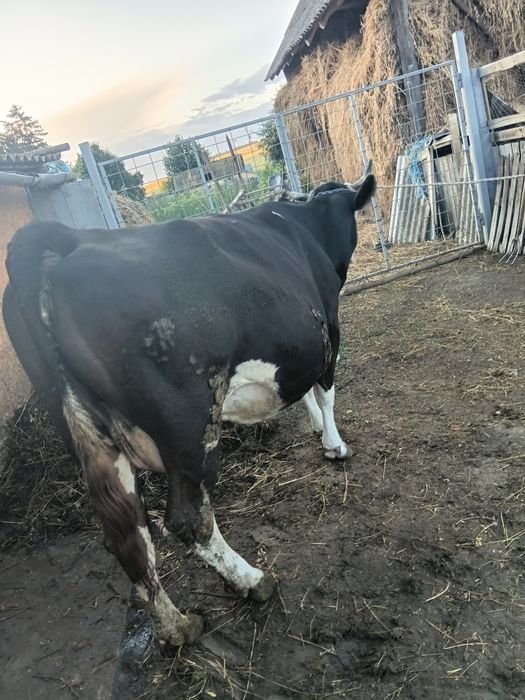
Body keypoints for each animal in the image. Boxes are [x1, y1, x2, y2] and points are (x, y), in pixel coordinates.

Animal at [2, 167, 375, 647]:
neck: (304, 222)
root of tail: (68, 240)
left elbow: (308, 390)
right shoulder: (328, 325)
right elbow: (325, 390)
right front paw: (334, 445)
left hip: (84, 429)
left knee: (128, 533)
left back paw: (175, 626)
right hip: (188, 424)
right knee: (186, 519)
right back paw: (252, 581)